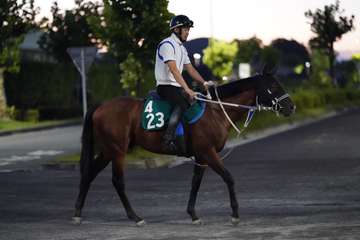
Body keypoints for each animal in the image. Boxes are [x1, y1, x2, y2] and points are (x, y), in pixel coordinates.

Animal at [72, 66, 296, 226]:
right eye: (274, 87)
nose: (291, 107)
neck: (215, 111)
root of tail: (101, 106)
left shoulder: (201, 156)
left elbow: (195, 183)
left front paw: (193, 214)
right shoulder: (208, 152)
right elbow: (228, 178)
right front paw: (234, 214)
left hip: (108, 151)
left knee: (89, 174)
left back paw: (78, 213)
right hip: (117, 151)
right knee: (118, 181)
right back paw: (135, 217)